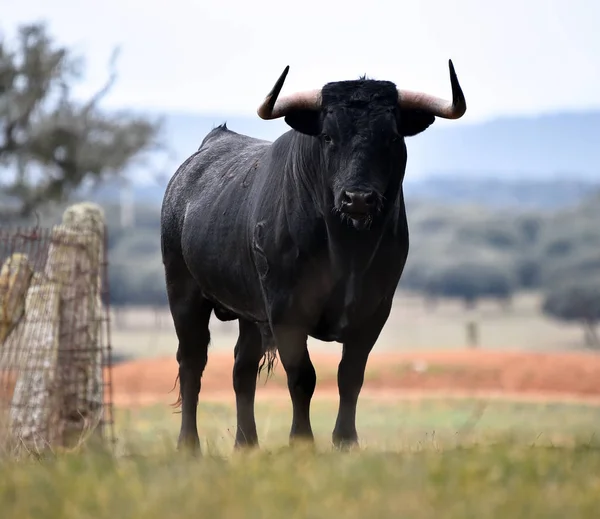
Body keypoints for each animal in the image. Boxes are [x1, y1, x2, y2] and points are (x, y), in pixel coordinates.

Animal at [162, 60, 466, 450]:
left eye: (391, 137)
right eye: (328, 137)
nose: (358, 198)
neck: (347, 252)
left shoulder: (374, 311)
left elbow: (350, 376)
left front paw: (345, 441)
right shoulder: (286, 311)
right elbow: (302, 377)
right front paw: (302, 442)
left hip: (249, 311)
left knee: (242, 369)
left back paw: (247, 444)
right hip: (184, 293)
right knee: (191, 362)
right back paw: (189, 445)